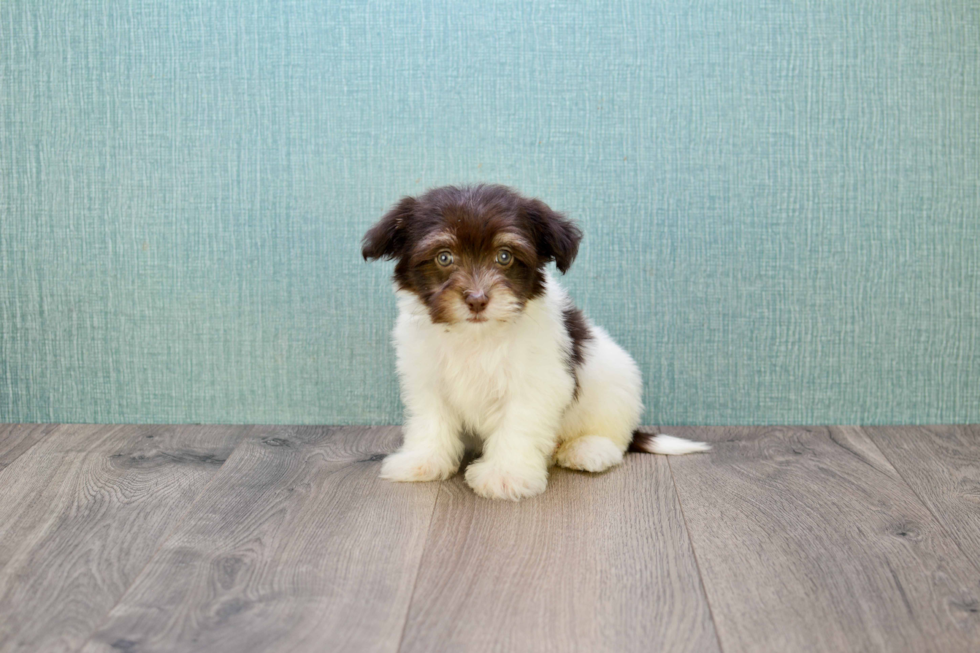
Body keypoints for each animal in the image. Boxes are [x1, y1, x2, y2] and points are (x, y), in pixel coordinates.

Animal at [360, 183, 704, 500]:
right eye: (444, 257)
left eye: (504, 256)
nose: (477, 299)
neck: (477, 335)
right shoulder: (426, 376)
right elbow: (430, 419)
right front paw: (423, 460)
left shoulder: (536, 380)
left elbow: (518, 422)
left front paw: (505, 475)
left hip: (613, 381)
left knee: (612, 431)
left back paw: (588, 449)